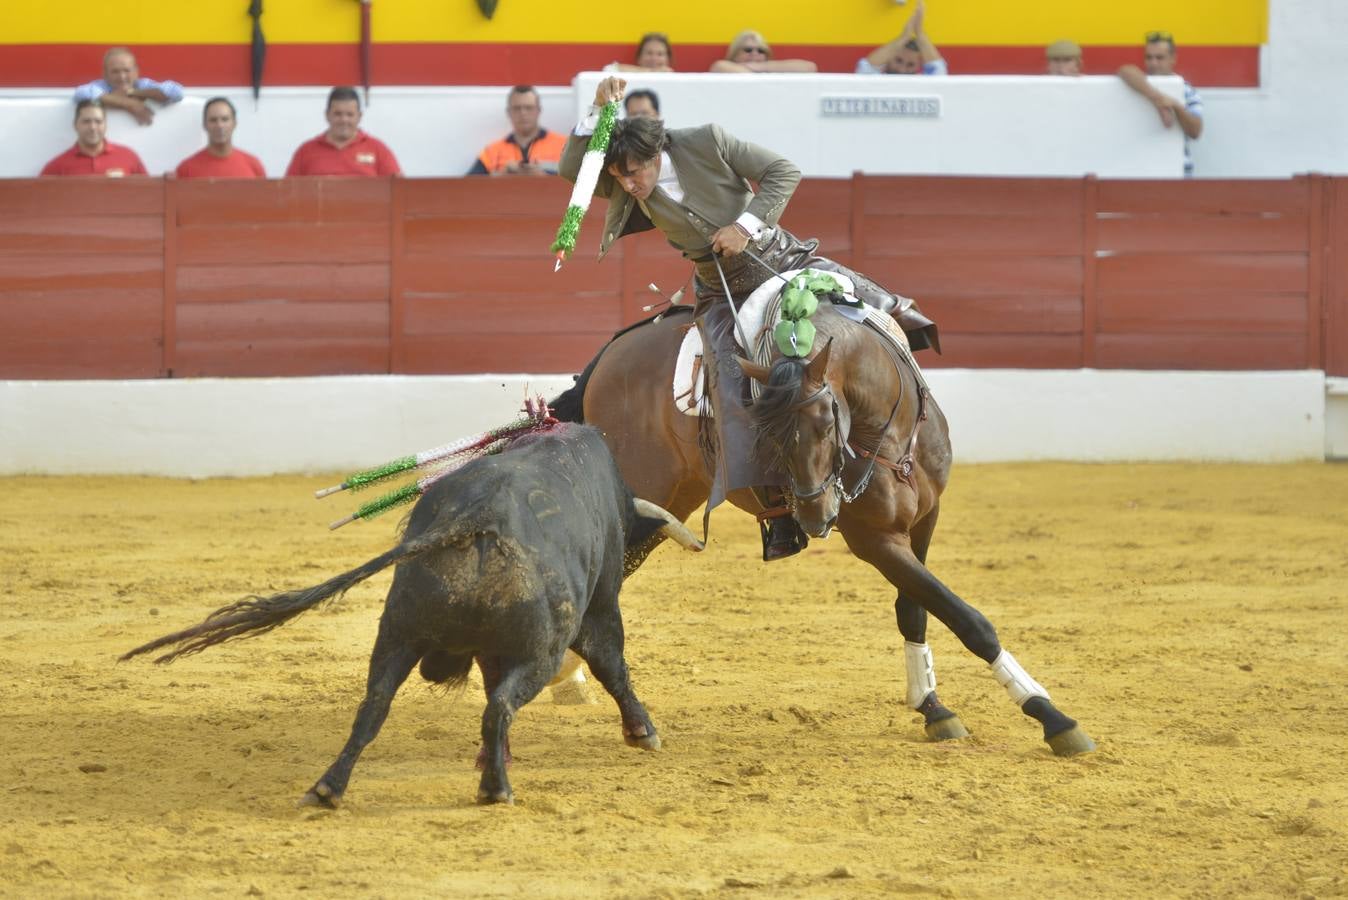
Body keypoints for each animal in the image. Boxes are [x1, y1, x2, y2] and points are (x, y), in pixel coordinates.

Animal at [124, 425, 706, 802]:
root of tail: (478, 520)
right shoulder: (598, 608)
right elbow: (612, 663)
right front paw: (643, 732)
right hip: (538, 650)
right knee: (499, 706)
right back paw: (495, 789)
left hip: (398, 632)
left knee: (375, 705)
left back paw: (329, 788)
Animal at [549, 304, 1094, 759]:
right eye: (759, 431)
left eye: (826, 422)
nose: (814, 515)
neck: (886, 433)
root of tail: (610, 356)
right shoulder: (875, 540)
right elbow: (965, 617)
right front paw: (1051, 716)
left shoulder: (923, 521)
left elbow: (916, 607)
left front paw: (932, 706)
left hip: (672, 501)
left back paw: (570, 679)